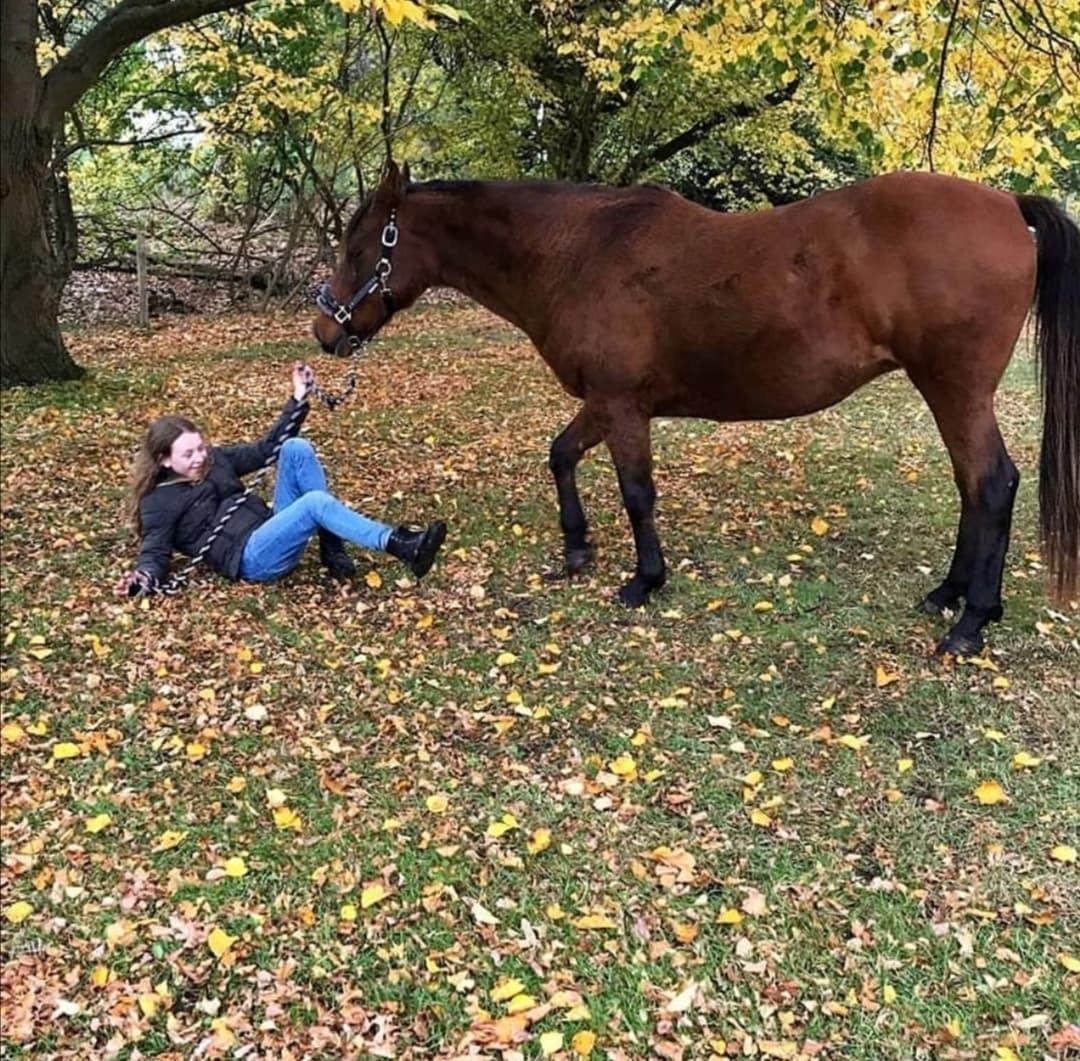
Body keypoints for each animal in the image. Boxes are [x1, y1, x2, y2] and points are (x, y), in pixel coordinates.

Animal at [315, 163, 1080, 656]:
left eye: (358, 247)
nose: (324, 332)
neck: (577, 253)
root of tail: (1007, 205)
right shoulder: (606, 403)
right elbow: (561, 455)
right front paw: (576, 548)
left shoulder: (622, 406)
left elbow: (636, 492)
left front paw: (643, 579)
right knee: (973, 488)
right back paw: (947, 595)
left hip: (955, 390)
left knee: (991, 484)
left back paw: (971, 622)